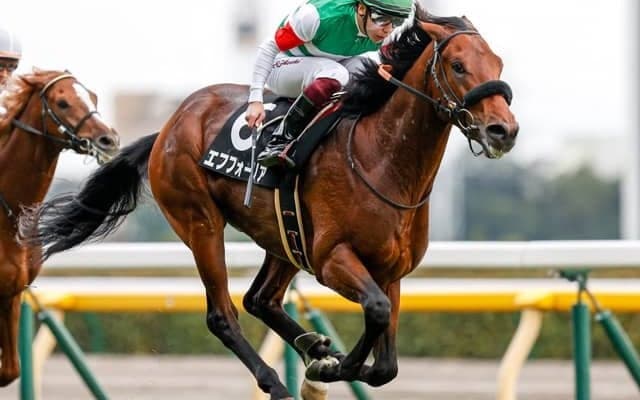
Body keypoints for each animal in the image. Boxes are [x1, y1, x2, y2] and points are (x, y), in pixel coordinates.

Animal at [18, 10, 518, 399]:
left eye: (496, 62)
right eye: (457, 65)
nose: (503, 130)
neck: (382, 160)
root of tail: (169, 126)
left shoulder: (391, 272)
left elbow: (386, 364)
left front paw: (328, 362)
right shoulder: (331, 258)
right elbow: (374, 313)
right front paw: (334, 367)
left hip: (283, 236)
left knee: (259, 298)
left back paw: (314, 347)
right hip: (201, 223)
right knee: (223, 314)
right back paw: (277, 380)